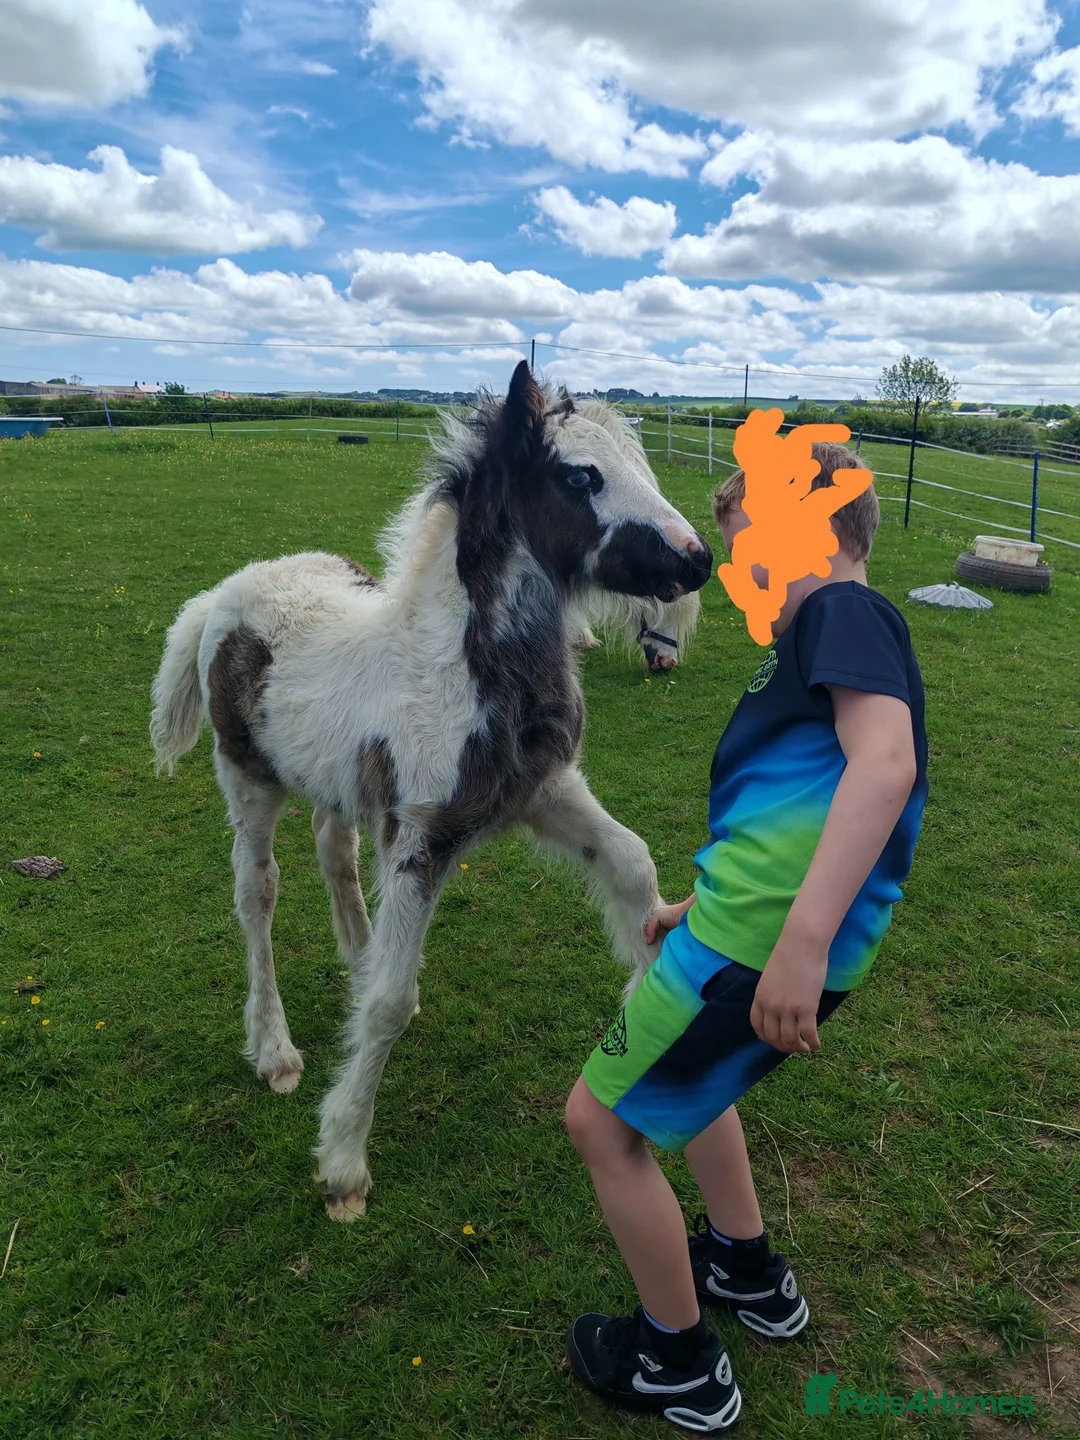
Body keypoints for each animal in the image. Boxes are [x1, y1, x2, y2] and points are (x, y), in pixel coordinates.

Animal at [150, 362, 712, 1221]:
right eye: (581, 477)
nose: (698, 558)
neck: (462, 669)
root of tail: (225, 594)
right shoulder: (421, 838)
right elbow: (386, 1003)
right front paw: (344, 1162)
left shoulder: (542, 791)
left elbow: (633, 865)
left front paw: (652, 1006)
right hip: (248, 780)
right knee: (257, 894)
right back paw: (274, 1049)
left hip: (336, 781)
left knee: (334, 850)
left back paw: (357, 952)